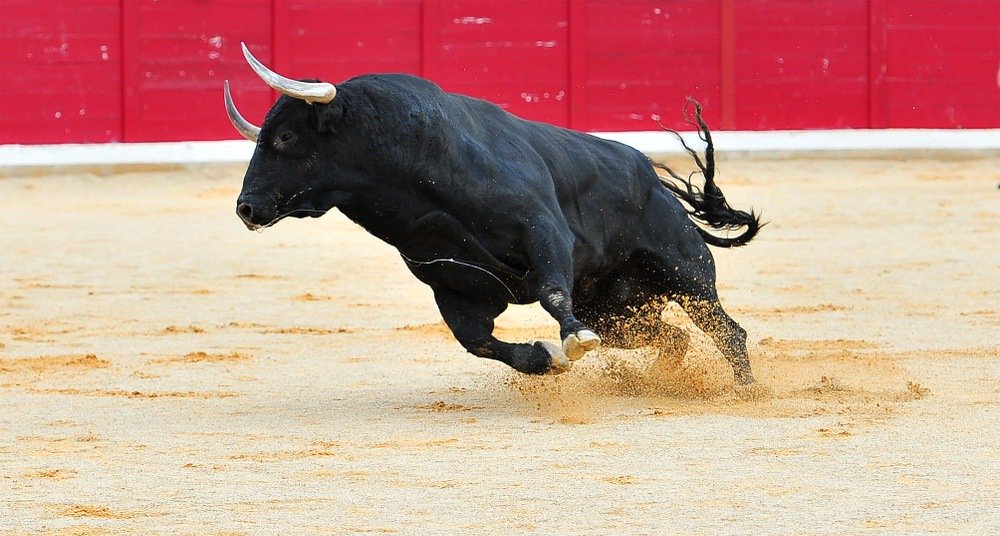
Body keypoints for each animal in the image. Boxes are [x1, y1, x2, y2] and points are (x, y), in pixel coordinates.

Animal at [225, 43, 762, 385]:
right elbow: (478, 342)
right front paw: (547, 358)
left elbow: (550, 292)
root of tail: (653, 179)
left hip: (684, 271)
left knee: (726, 329)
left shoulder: (544, 233)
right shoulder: (452, 286)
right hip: (614, 308)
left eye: (286, 136)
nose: (246, 207)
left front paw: (571, 341)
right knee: (673, 339)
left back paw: (745, 389)